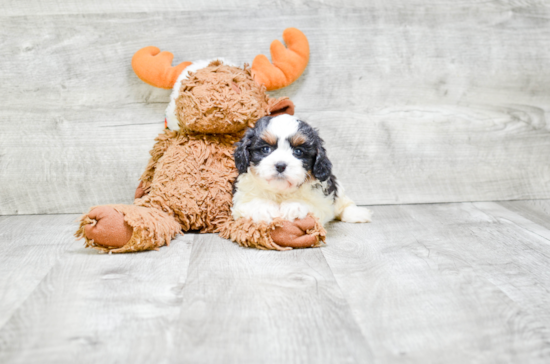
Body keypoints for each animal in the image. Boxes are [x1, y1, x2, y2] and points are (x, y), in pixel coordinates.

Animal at [231, 115, 374, 226]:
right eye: (265, 149)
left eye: (298, 152)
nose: (280, 165)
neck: (280, 191)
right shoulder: (239, 199)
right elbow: (250, 202)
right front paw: (264, 208)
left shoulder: (323, 202)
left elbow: (313, 206)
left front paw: (294, 205)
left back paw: (356, 213)